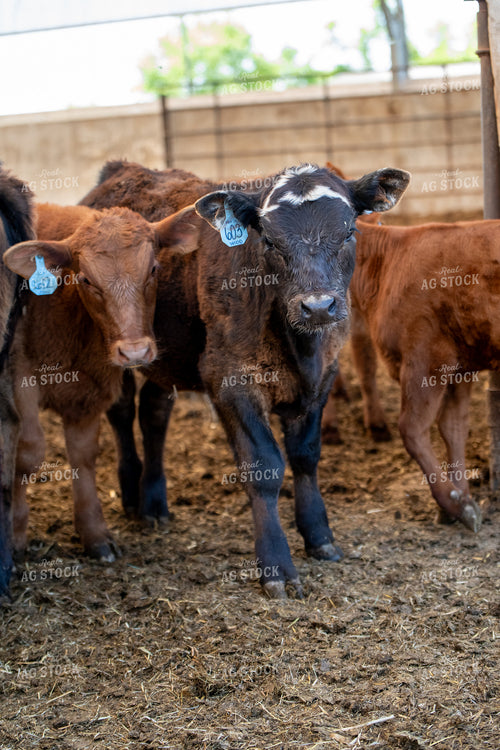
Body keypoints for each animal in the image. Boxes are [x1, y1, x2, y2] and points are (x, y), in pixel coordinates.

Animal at [3, 202, 194, 562]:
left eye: (153, 269)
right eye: (86, 279)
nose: (135, 350)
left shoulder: (90, 389)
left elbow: (84, 455)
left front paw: (94, 533)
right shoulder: (19, 374)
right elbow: (28, 452)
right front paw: (16, 533)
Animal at [81, 161, 410, 597]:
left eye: (349, 233)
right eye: (269, 240)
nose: (318, 306)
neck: (299, 344)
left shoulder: (323, 377)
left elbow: (306, 456)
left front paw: (319, 536)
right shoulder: (230, 381)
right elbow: (264, 466)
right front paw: (276, 566)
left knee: (153, 413)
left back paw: (154, 502)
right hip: (118, 347)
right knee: (120, 412)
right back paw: (132, 491)